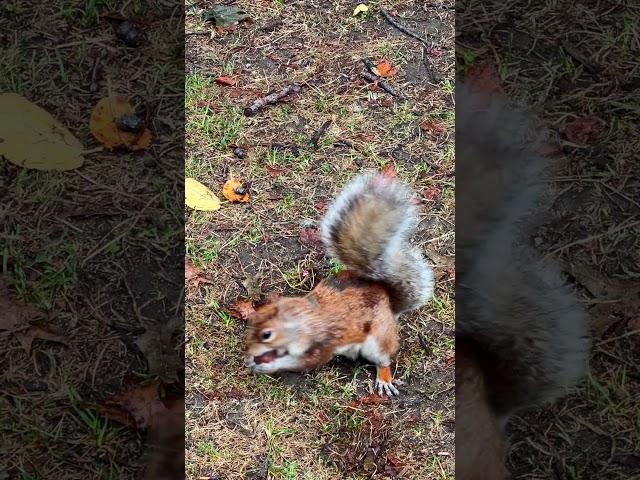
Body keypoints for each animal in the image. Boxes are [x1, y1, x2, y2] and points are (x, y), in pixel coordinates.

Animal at [242, 174, 432, 396]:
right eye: (252, 320)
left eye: (267, 335)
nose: (249, 350)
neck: (305, 321)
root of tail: (387, 299)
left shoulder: (322, 344)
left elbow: (302, 362)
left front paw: (266, 365)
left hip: (379, 339)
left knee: (383, 359)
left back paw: (384, 378)